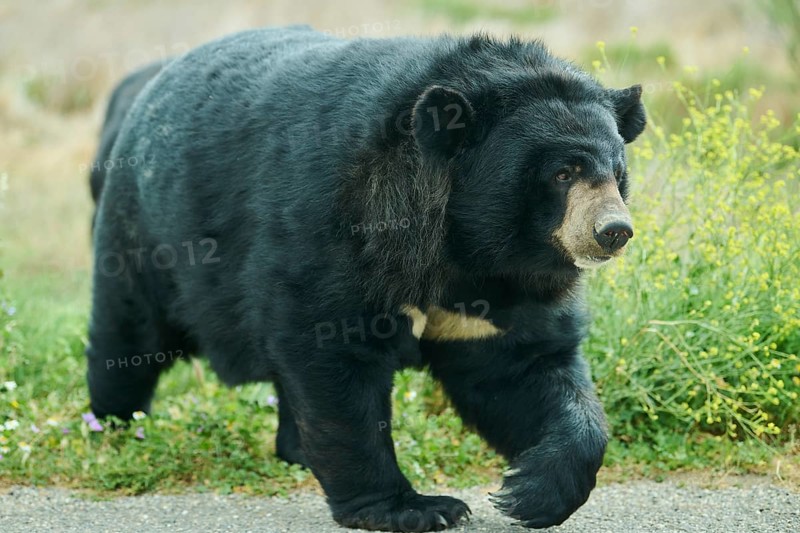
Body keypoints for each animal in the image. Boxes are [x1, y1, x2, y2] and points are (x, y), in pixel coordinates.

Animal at [87, 26, 645, 532]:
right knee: (129, 335)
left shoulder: (498, 291)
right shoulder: (335, 227)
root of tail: (148, 85)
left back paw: (294, 450)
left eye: (616, 172)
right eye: (563, 173)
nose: (613, 231)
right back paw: (113, 426)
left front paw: (529, 492)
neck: (461, 247)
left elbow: (522, 369)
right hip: (147, 234)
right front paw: (416, 509)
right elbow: (333, 355)